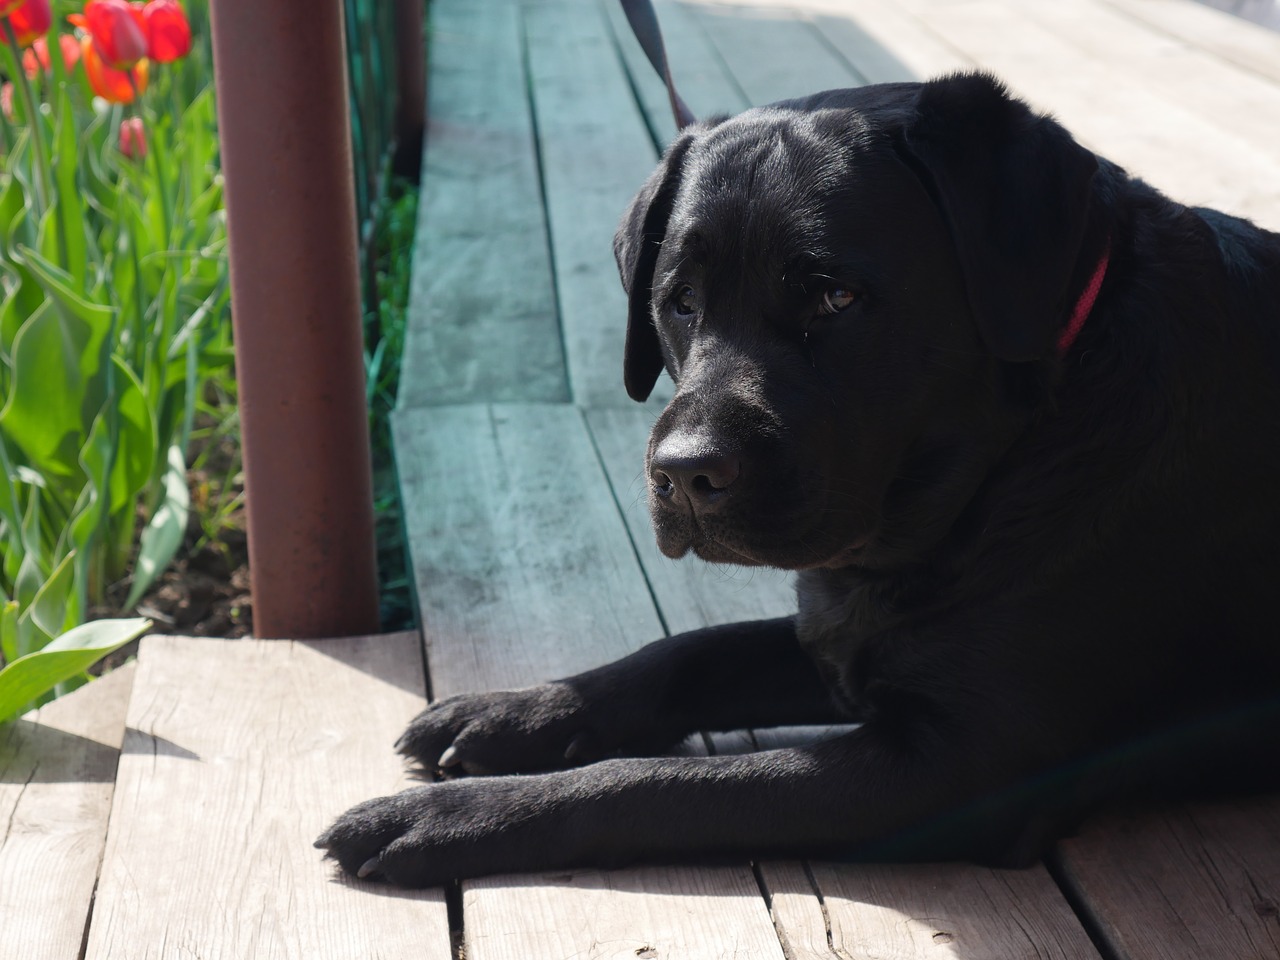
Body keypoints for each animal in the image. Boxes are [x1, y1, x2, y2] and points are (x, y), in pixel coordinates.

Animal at [317, 73, 1280, 885]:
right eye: (679, 301)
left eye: (835, 297)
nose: (683, 474)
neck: (1004, 469)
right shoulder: (838, 630)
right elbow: (687, 653)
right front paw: (517, 712)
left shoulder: (961, 766)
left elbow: (659, 785)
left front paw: (448, 816)